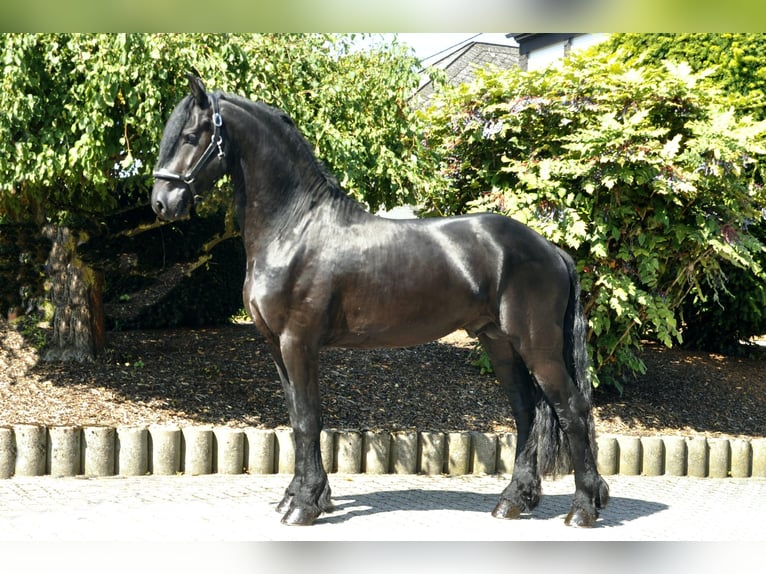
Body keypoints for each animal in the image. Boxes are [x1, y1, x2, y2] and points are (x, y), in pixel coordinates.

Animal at [152, 74, 609, 527]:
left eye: (191, 135)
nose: (161, 203)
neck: (295, 228)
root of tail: (552, 249)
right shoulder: (277, 347)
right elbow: (297, 418)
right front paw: (300, 497)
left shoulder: (298, 343)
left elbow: (308, 420)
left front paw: (305, 505)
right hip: (499, 343)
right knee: (527, 412)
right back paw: (513, 501)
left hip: (537, 345)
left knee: (571, 409)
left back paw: (583, 509)